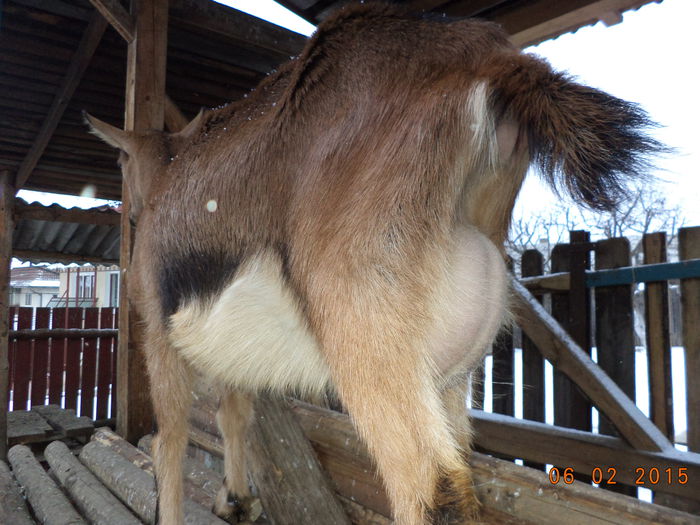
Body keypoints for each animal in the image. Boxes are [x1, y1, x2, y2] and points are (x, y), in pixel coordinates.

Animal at [86, 2, 660, 520]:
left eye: (119, 160)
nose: (127, 211)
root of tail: (487, 58)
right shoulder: (230, 353)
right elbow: (235, 413)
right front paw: (238, 499)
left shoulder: (158, 331)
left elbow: (170, 440)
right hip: (448, 370)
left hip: (366, 333)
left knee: (431, 490)